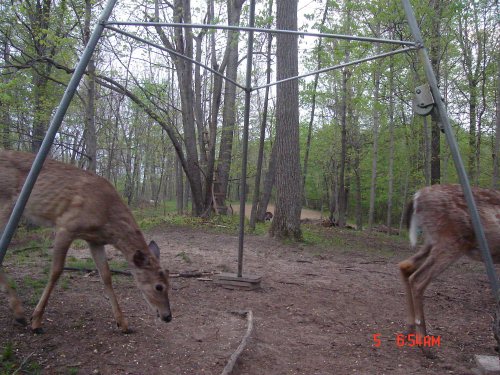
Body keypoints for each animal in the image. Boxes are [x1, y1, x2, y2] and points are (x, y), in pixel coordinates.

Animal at [0, 151, 172, 334]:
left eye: (169, 283)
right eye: (159, 286)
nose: (168, 316)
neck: (106, 216)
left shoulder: (95, 241)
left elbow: (106, 276)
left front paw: (122, 323)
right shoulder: (66, 226)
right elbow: (56, 271)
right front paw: (37, 320)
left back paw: (18, 312)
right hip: (5, 203)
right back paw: (19, 312)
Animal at [398, 185, 500, 340]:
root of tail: (417, 196)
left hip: (432, 241)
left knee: (405, 266)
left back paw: (409, 329)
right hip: (451, 242)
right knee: (418, 279)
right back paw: (423, 338)